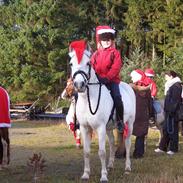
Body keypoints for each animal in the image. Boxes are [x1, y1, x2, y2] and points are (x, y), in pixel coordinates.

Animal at [68, 40, 136, 182]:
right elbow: (86, 152)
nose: (79, 85)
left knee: (127, 143)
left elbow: (101, 152)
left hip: (129, 124)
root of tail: (128, 86)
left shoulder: (100, 128)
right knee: (112, 143)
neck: (88, 100)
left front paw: (103, 176)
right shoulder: (85, 128)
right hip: (109, 128)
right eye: (71, 63)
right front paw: (86, 174)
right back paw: (110, 165)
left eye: (88, 63)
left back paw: (127, 167)